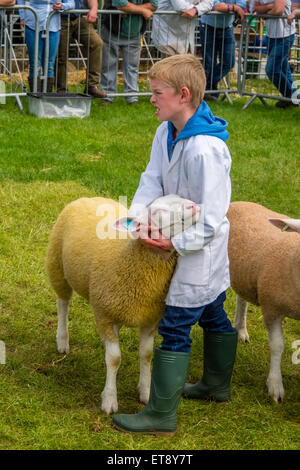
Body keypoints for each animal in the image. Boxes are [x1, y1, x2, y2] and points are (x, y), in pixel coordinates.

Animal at [46, 195, 199, 414]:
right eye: (158, 212)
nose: (194, 206)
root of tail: (88, 198)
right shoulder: (106, 316)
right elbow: (114, 359)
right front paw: (109, 400)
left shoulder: (150, 319)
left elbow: (146, 354)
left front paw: (145, 391)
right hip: (57, 264)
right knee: (62, 304)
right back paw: (62, 340)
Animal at [227, 200, 300, 402]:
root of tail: (238, 202)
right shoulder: (271, 308)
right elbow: (277, 345)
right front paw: (275, 386)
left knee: (241, 299)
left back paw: (241, 329)